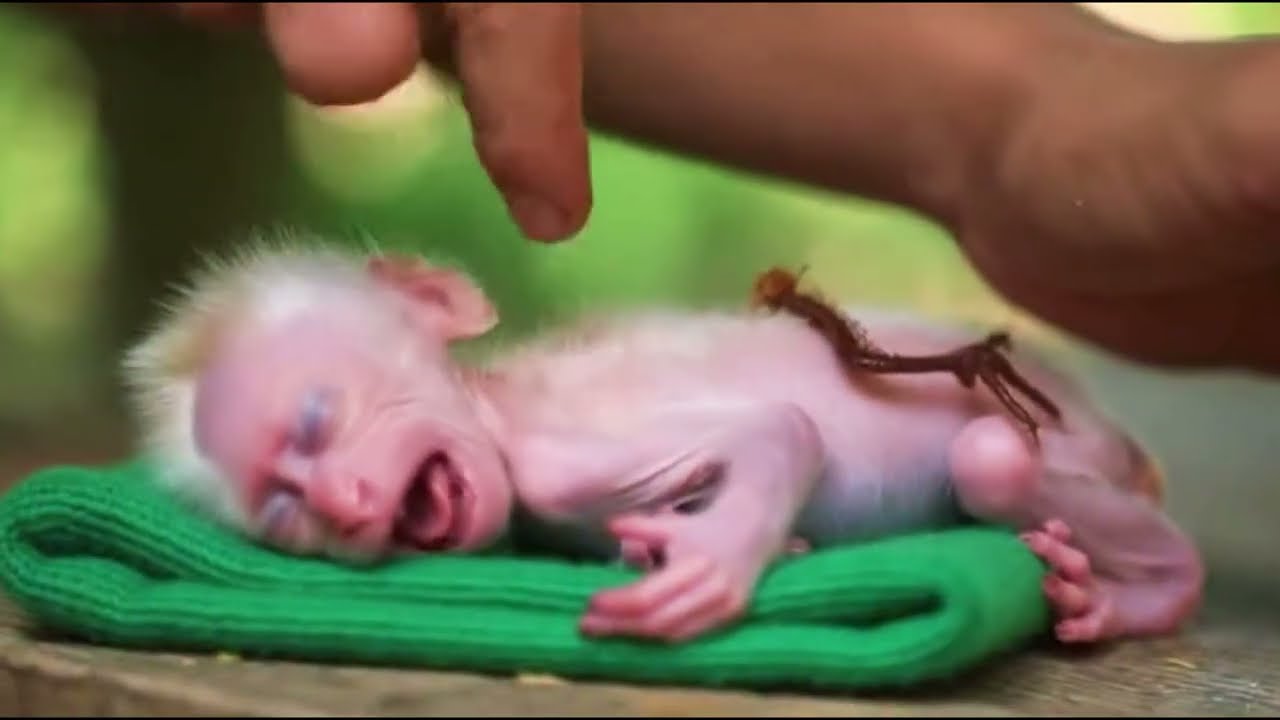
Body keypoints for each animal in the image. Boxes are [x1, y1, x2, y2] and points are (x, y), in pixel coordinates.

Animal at [121, 235, 1203, 647]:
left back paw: (1152, 592)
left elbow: (780, 426)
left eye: (321, 419)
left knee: (994, 461)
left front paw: (708, 565)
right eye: (282, 508)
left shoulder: (552, 457)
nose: (342, 500)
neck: (496, 404)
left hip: (1057, 447)